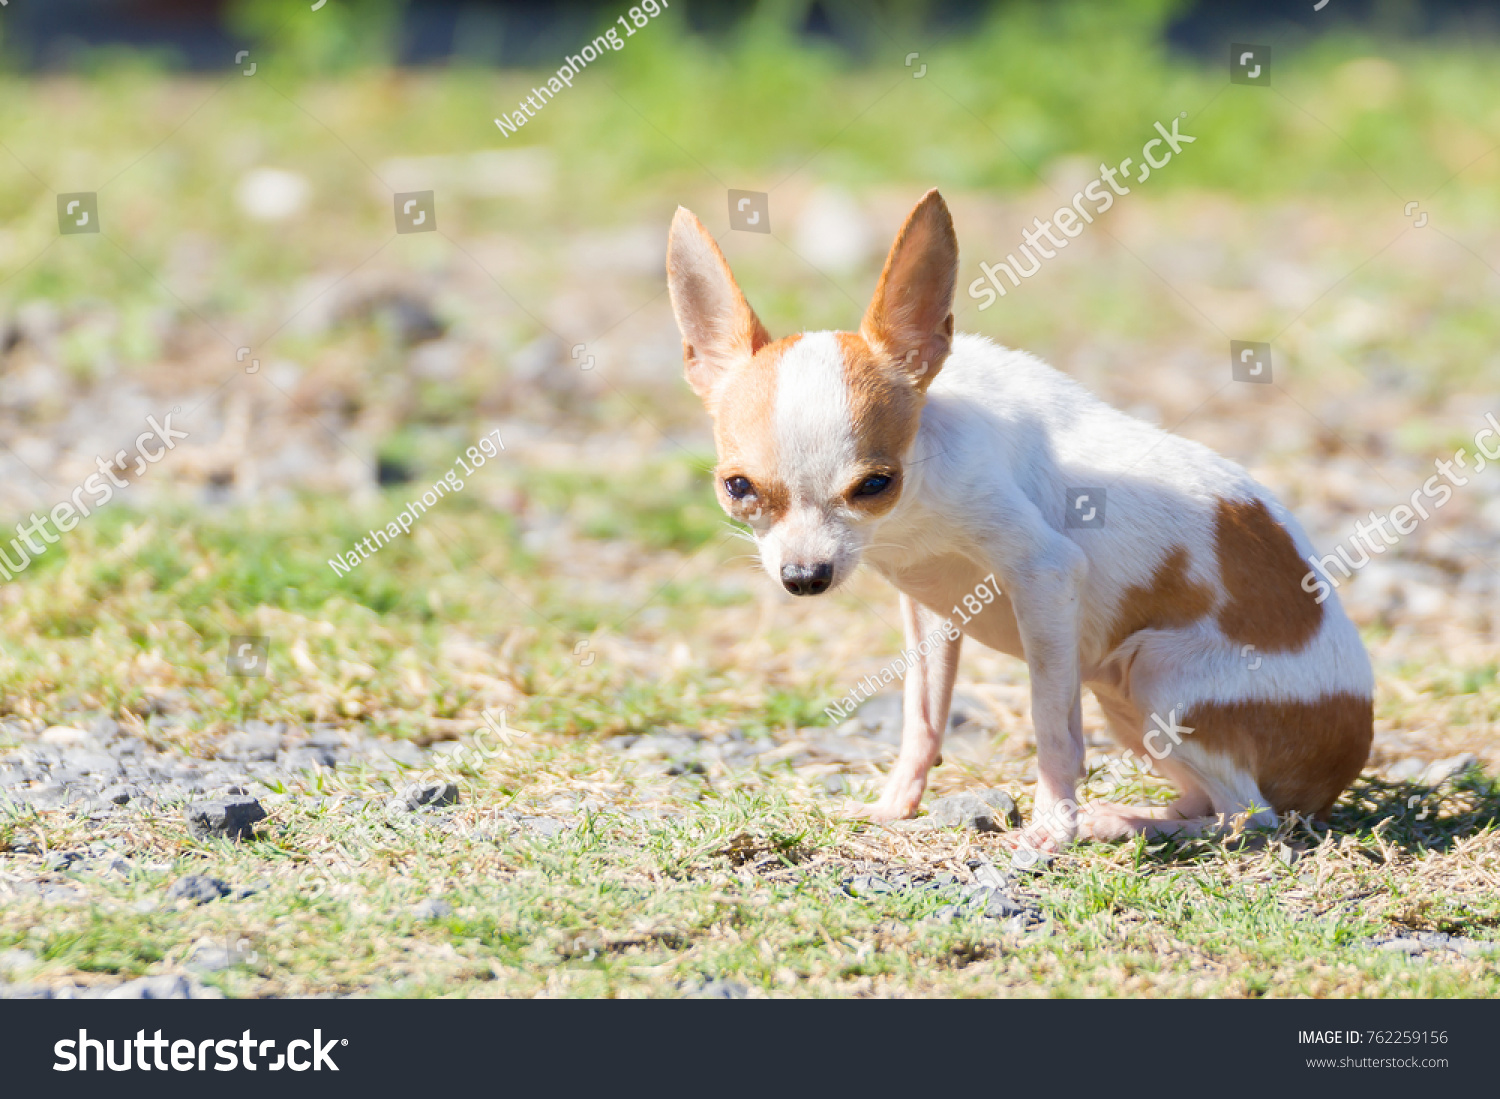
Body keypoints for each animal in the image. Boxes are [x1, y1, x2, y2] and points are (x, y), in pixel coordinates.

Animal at [669, 186, 1374, 851]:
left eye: (874, 485)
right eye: (738, 489)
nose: (805, 576)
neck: (916, 496)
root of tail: (1338, 769)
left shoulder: (1046, 574)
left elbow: (1051, 725)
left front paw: (1053, 827)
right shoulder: (929, 609)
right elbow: (924, 714)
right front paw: (897, 805)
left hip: (1156, 674)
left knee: (1249, 817)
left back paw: (1122, 824)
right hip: (1124, 696)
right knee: (1219, 801)